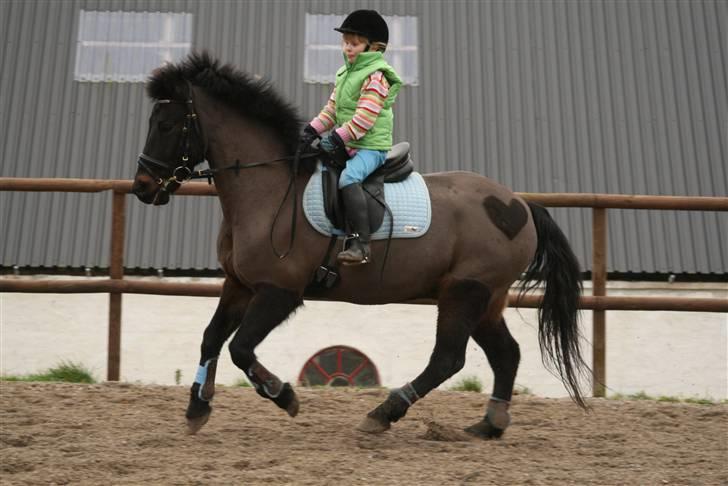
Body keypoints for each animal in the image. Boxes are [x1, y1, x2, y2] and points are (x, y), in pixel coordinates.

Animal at [129, 51, 584, 438]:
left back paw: (382, 415)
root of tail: (519, 204)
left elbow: (241, 348)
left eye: (166, 125)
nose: (143, 187)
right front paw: (197, 409)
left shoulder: (279, 292)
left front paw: (284, 395)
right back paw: (488, 425)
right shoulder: (239, 285)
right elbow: (210, 338)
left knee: (448, 359)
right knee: (506, 354)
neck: (268, 190)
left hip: (465, 292)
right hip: (487, 299)